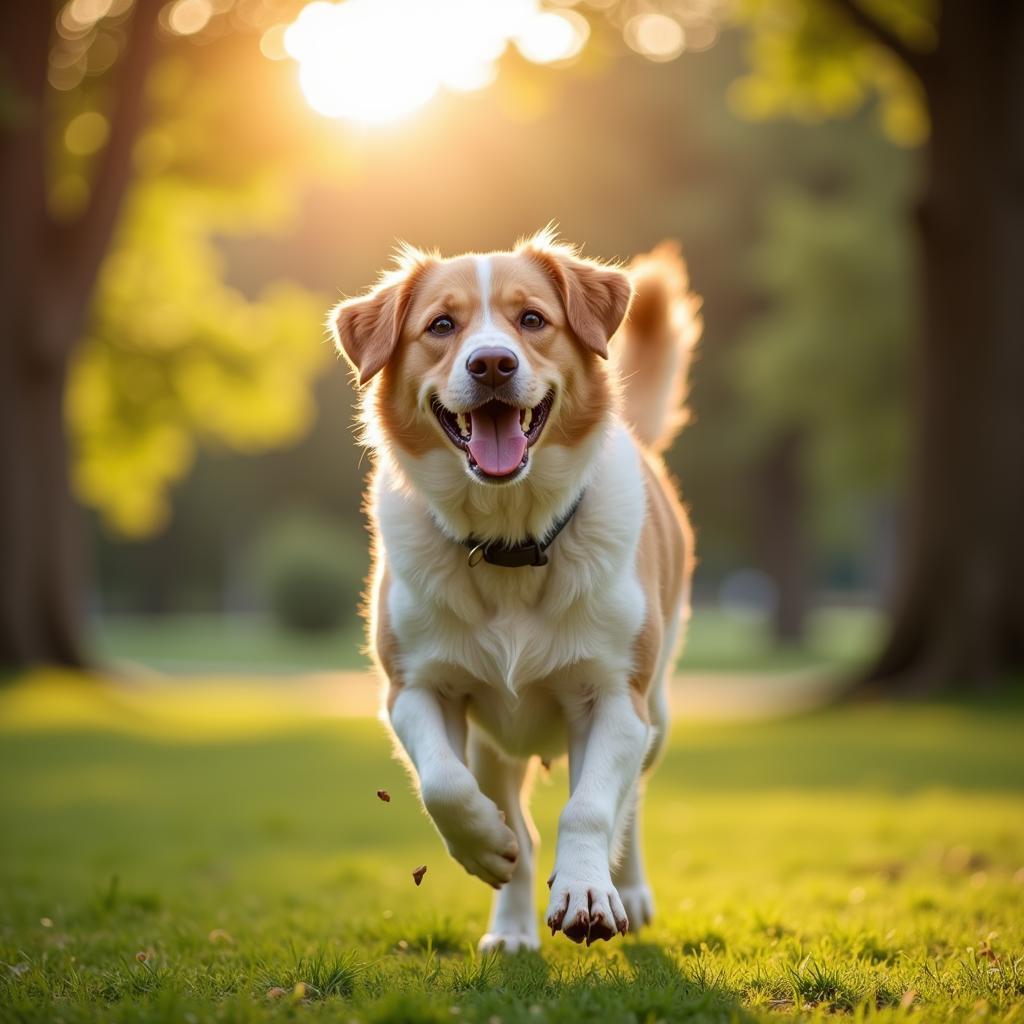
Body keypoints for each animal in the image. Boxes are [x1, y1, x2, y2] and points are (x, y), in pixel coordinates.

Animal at [331, 228, 700, 946]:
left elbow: (589, 810)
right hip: (493, 743)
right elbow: (446, 788)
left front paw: (588, 891)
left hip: (658, 712)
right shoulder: (415, 687)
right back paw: (512, 929)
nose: (493, 365)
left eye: (532, 319)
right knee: (517, 822)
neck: (509, 544)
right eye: (440, 326)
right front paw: (486, 846)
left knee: (630, 803)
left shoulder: (616, 697)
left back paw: (627, 888)